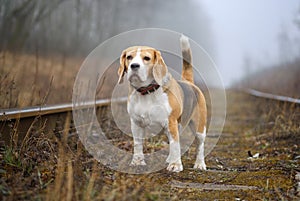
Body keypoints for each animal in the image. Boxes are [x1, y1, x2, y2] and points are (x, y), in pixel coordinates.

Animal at [117, 35, 206, 172]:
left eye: (146, 58)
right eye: (129, 57)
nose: (134, 66)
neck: (147, 92)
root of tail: (189, 83)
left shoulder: (170, 122)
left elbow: (175, 144)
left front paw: (175, 165)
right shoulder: (136, 123)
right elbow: (138, 144)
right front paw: (137, 162)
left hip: (199, 127)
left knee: (199, 144)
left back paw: (200, 164)